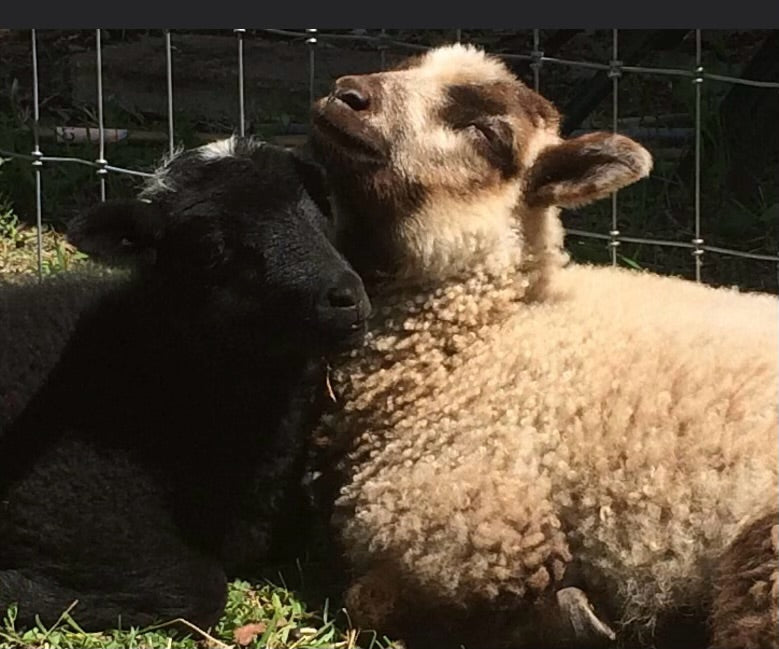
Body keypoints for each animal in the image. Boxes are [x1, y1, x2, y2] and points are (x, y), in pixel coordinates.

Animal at [307, 43, 779, 649]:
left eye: (486, 132)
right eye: (408, 67)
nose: (347, 94)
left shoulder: (468, 525)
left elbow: (369, 601)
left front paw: (572, 616)